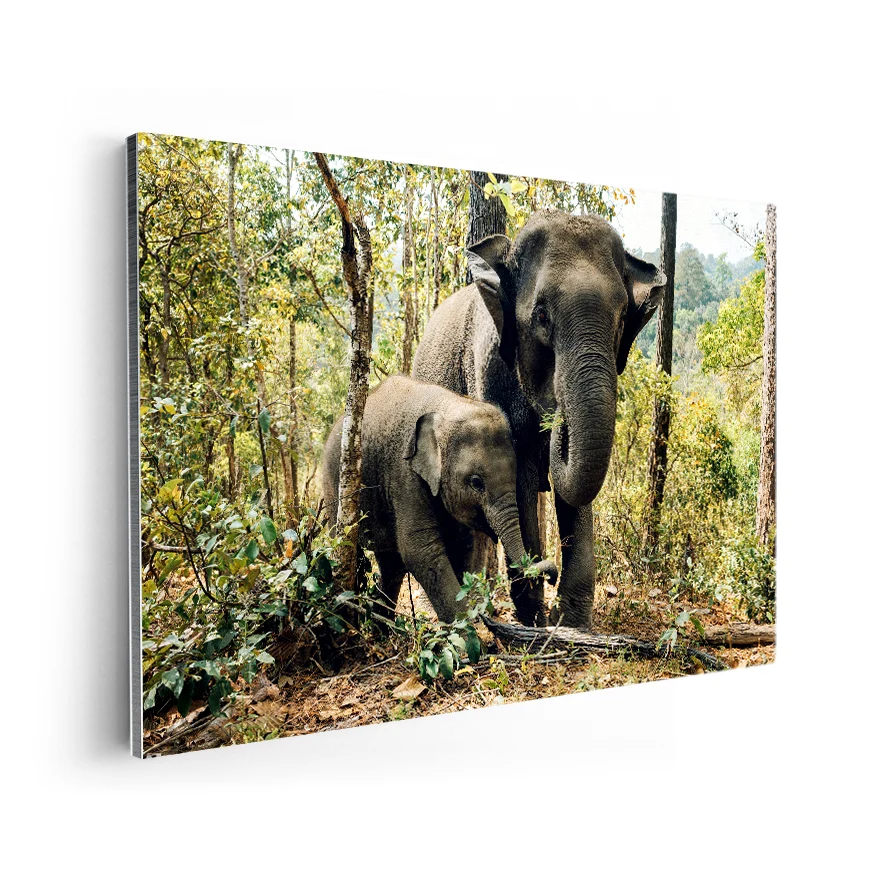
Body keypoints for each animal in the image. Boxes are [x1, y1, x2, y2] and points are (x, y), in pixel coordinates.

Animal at [321, 375, 557, 624]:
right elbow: (421, 551)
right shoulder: (405, 474)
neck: (447, 407)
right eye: (476, 482)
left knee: (392, 565)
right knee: (349, 550)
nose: (552, 576)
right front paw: (469, 629)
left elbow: (464, 545)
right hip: (334, 487)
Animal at [412, 209, 665, 629]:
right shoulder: (490, 372)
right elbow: (521, 478)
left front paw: (571, 622)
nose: (557, 414)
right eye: (542, 315)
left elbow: (573, 491)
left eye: (620, 319)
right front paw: (535, 617)